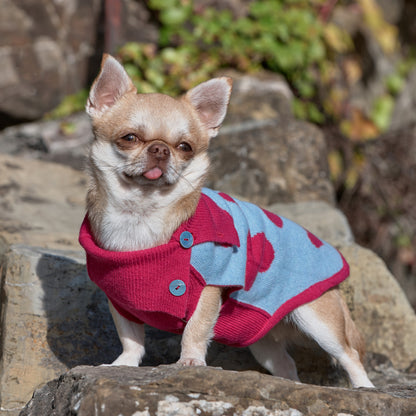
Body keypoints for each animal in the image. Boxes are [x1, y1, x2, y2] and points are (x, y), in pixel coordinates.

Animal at [79, 53, 374, 388]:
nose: (160, 149)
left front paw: (190, 361)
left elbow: (195, 329)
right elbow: (131, 338)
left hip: (318, 319)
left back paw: (364, 388)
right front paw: (124, 364)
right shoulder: (120, 299)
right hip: (262, 342)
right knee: (285, 363)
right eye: (129, 138)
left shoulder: (209, 289)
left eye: (185, 147)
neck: (142, 212)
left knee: (349, 355)